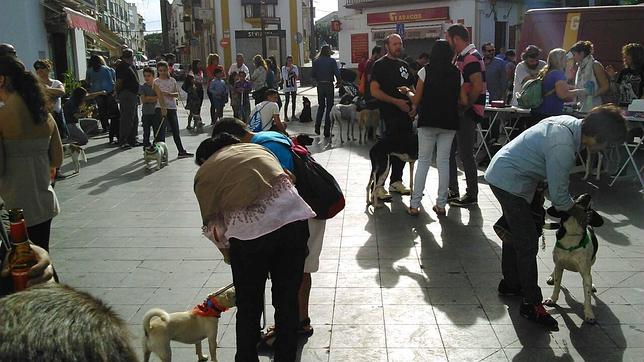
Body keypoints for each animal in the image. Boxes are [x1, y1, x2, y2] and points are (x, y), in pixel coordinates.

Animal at [544, 194, 604, 324]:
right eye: (574, 196)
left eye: (590, 208)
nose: (588, 195)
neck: (572, 233)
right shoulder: (559, 265)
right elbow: (557, 285)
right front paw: (553, 299)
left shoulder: (585, 273)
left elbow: (587, 295)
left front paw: (589, 313)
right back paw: (552, 276)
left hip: (593, 259)